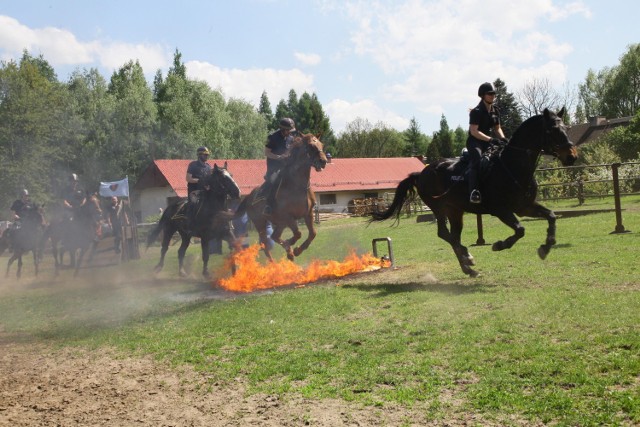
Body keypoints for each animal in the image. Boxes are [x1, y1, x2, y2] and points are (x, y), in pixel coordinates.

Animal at [368, 108, 576, 278]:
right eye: (552, 131)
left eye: (566, 128)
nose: (572, 156)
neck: (512, 166)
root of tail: (421, 173)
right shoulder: (501, 210)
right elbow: (520, 229)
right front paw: (500, 245)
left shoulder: (524, 207)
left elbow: (551, 216)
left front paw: (546, 246)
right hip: (439, 207)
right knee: (445, 234)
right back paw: (468, 258)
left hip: (455, 210)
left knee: (453, 236)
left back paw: (468, 267)